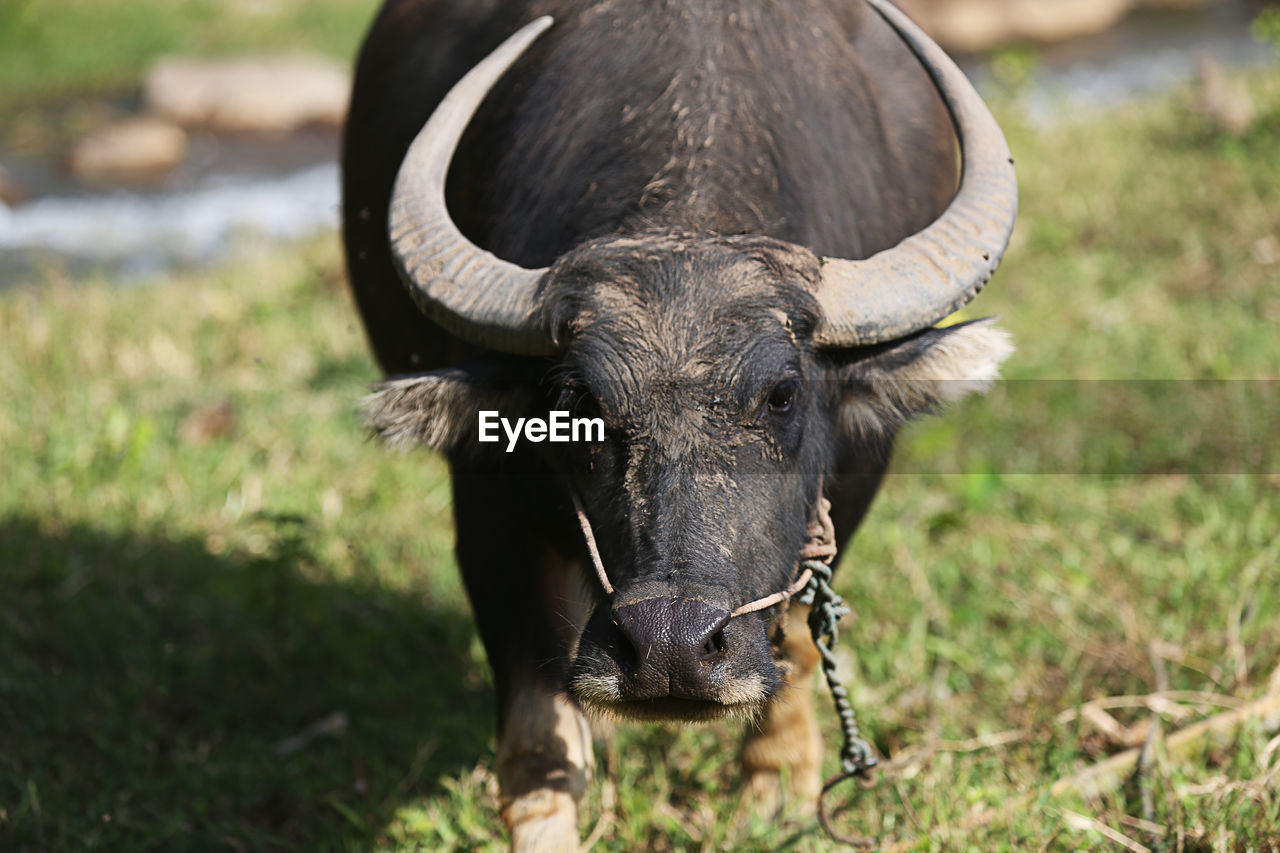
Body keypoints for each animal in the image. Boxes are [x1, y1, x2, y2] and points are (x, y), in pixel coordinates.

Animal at [343, 0, 1018, 840]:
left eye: (781, 394)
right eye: (578, 402)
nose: (670, 647)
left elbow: (801, 632)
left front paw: (775, 786)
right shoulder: (489, 508)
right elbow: (538, 741)